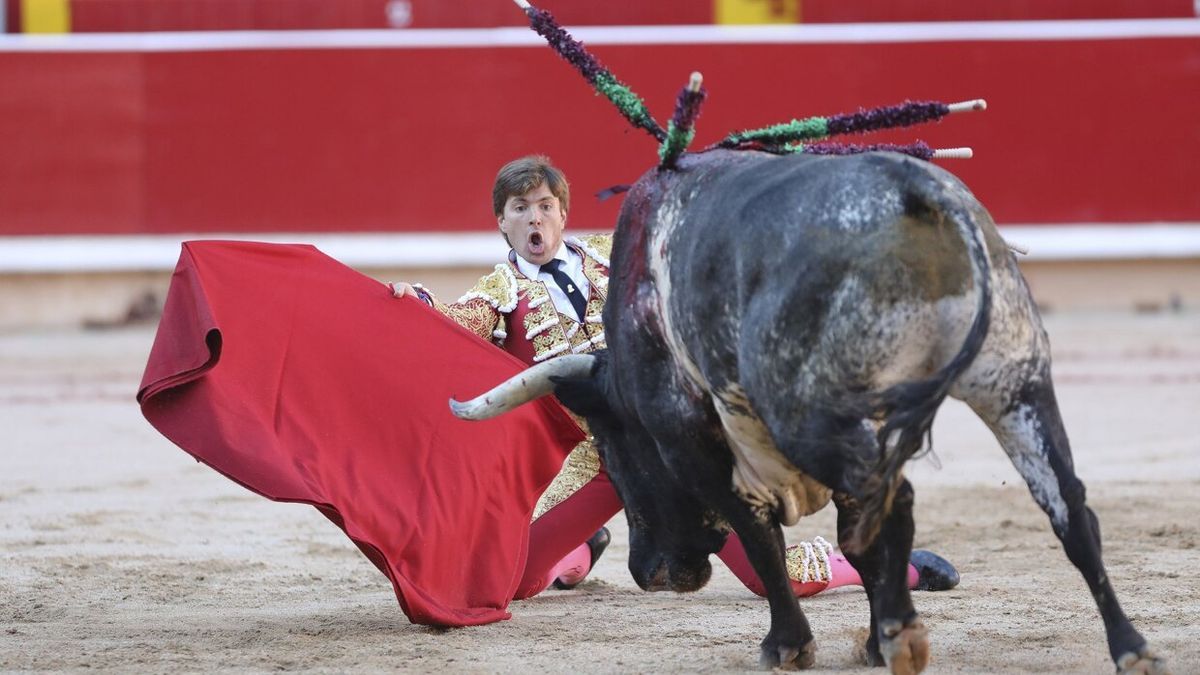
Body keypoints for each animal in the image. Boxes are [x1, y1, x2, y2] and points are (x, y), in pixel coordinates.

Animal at [451, 149, 1161, 667]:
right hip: (1014, 380)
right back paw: (1128, 647)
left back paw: (903, 631)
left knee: (889, 508)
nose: (650, 572)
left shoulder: (696, 443)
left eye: (616, 445)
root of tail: (917, 196)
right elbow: (846, 538)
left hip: (817, 417)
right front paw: (870, 640)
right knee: (1068, 506)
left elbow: (760, 536)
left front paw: (790, 646)